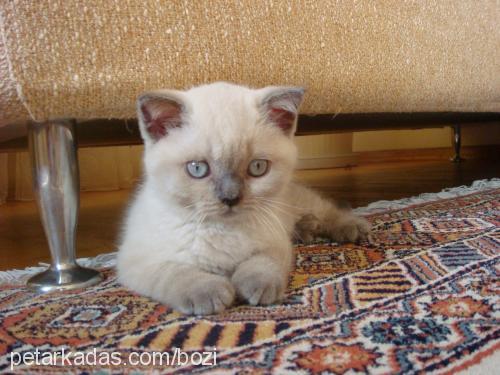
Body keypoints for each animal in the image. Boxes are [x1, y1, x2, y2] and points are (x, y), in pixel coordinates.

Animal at [116, 83, 368, 316]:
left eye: (257, 167)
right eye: (197, 169)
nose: (230, 198)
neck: (223, 230)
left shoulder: (275, 242)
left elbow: (262, 263)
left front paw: (256, 287)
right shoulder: (137, 260)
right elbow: (177, 272)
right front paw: (209, 293)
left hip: (294, 202)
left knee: (326, 210)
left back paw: (351, 228)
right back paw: (307, 230)